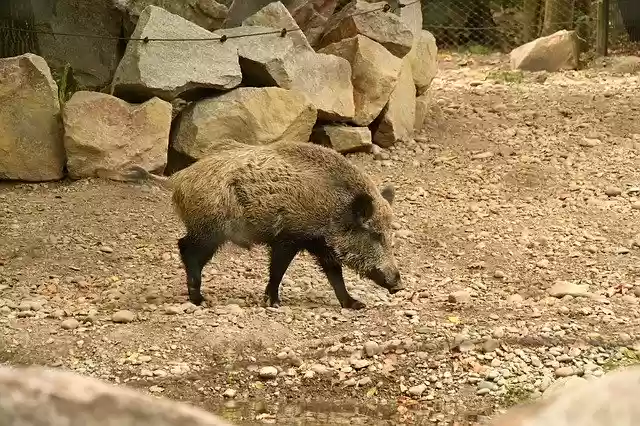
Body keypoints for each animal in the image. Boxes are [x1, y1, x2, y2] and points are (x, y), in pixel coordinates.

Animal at [122, 140, 403, 309]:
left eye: (389, 234)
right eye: (374, 234)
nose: (399, 285)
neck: (333, 207)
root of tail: (177, 179)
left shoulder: (320, 244)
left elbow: (335, 274)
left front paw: (355, 304)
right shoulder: (288, 237)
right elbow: (278, 270)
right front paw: (274, 303)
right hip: (209, 231)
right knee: (185, 248)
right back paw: (200, 300)